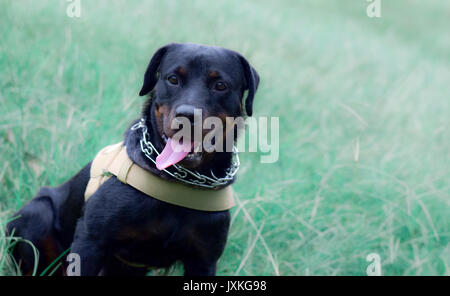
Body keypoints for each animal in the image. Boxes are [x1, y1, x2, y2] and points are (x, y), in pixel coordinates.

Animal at [6, 42, 260, 276]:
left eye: (220, 85)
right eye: (173, 79)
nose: (186, 116)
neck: (177, 181)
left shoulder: (203, 259)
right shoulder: (90, 241)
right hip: (36, 213)